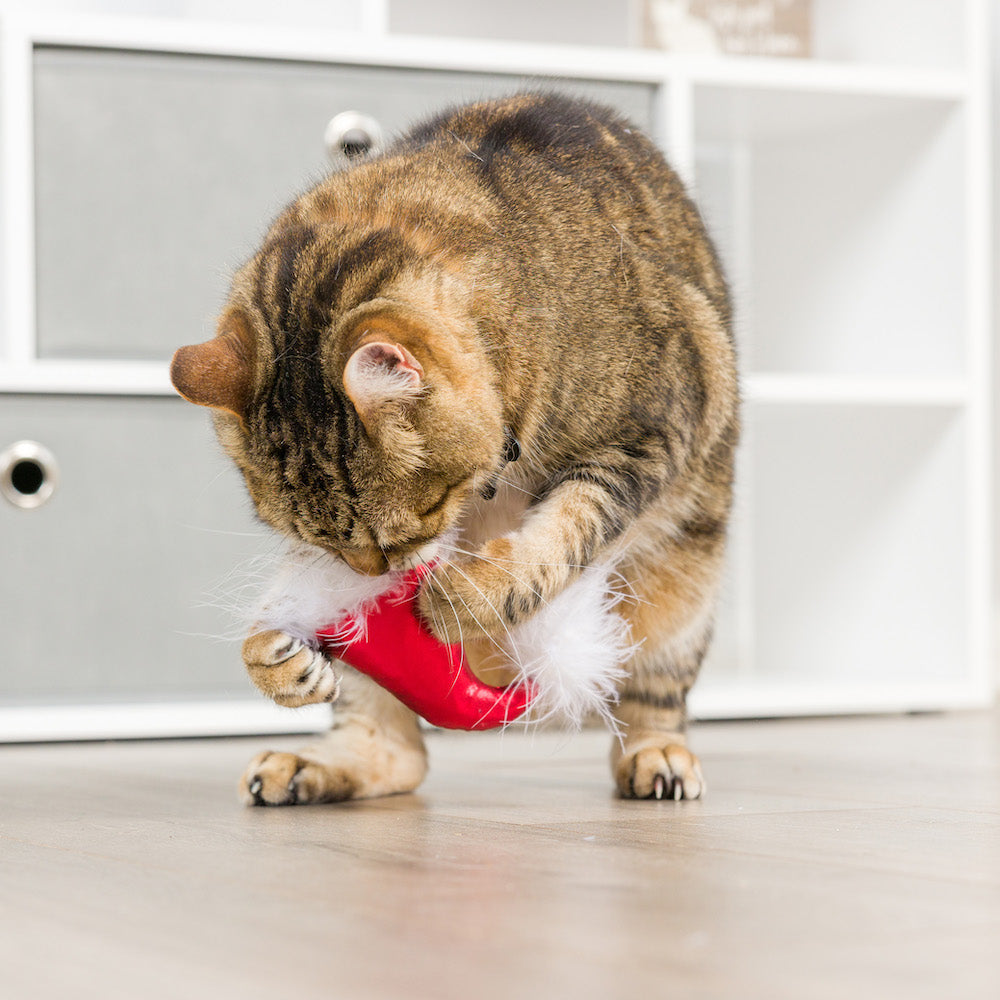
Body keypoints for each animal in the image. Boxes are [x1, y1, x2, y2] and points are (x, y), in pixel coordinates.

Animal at [168, 92, 740, 804]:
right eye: (319, 540)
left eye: (403, 530)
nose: (372, 579)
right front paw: (275, 653)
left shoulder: (652, 430)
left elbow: (566, 532)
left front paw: (467, 597)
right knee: (393, 752)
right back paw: (312, 762)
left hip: (684, 582)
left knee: (651, 691)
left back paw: (657, 757)